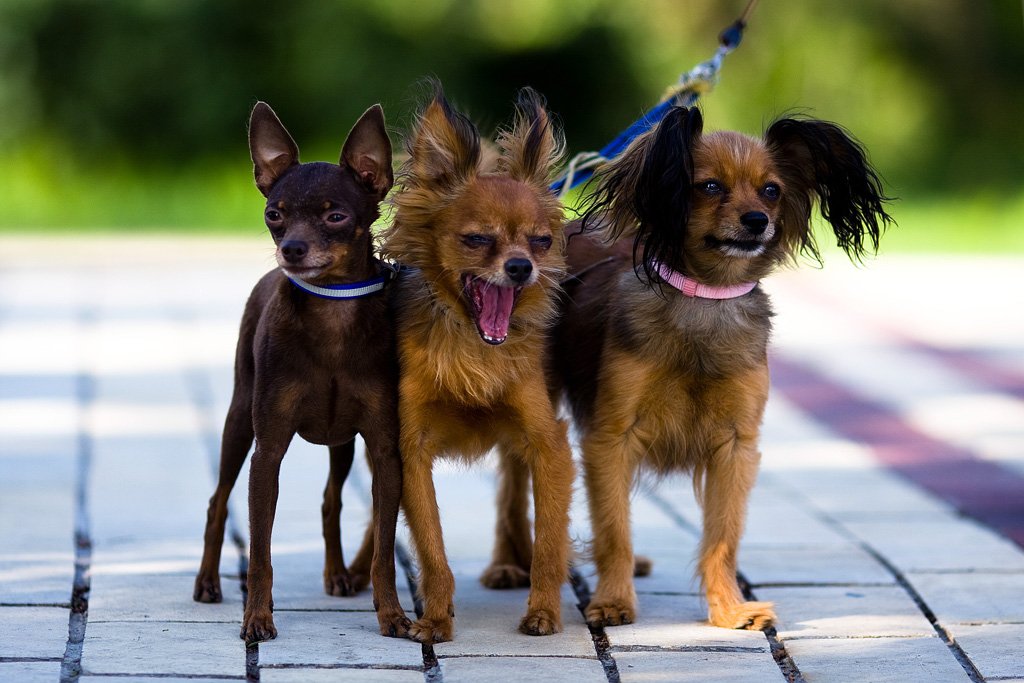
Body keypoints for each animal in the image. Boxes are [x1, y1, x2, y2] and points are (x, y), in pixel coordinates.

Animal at [193, 101, 410, 642]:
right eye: (275, 214)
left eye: (336, 216)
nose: (290, 248)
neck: (331, 314)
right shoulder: (267, 452)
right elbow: (260, 552)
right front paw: (257, 618)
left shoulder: (384, 450)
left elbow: (383, 549)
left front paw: (392, 615)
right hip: (238, 423)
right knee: (217, 500)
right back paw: (207, 582)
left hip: (344, 446)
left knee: (331, 501)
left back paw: (337, 575)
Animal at [380, 86, 575, 644]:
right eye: (477, 239)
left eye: (540, 241)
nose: (521, 267)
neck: (472, 343)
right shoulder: (410, 451)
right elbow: (431, 548)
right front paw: (434, 619)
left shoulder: (549, 445)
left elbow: (551, 540)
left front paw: (544, 611)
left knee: (512, 490)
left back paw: (512, 563)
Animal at [550, 106, 892, 630]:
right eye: (709, 186)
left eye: (771, 190)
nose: (757, 220)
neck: (705, 299)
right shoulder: (611, 440)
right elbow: (613, 530)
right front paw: (613, 601)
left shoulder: (735, 446)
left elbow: (722, 538)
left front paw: (729, 609)